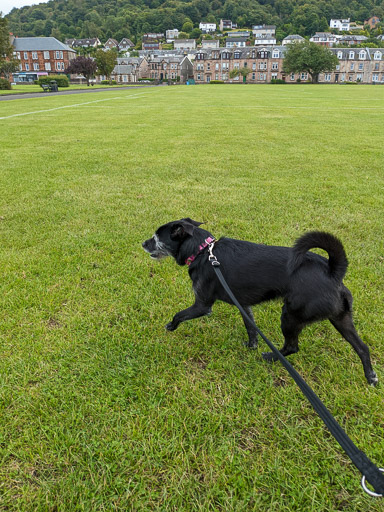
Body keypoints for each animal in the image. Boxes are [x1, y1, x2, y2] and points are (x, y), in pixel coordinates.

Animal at [142, 216, 378, 384]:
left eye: (157, 238)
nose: (143, 243)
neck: (203, 251)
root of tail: (333, 272)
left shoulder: (202, 305)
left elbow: (179, 314)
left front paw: (170, 326)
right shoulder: (244, 305)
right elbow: (251, 328)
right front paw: (251, 345)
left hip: (290, 317)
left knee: (292, 347)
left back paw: (271, 357)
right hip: (341, 319)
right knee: (362, 348)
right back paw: (371, 376)